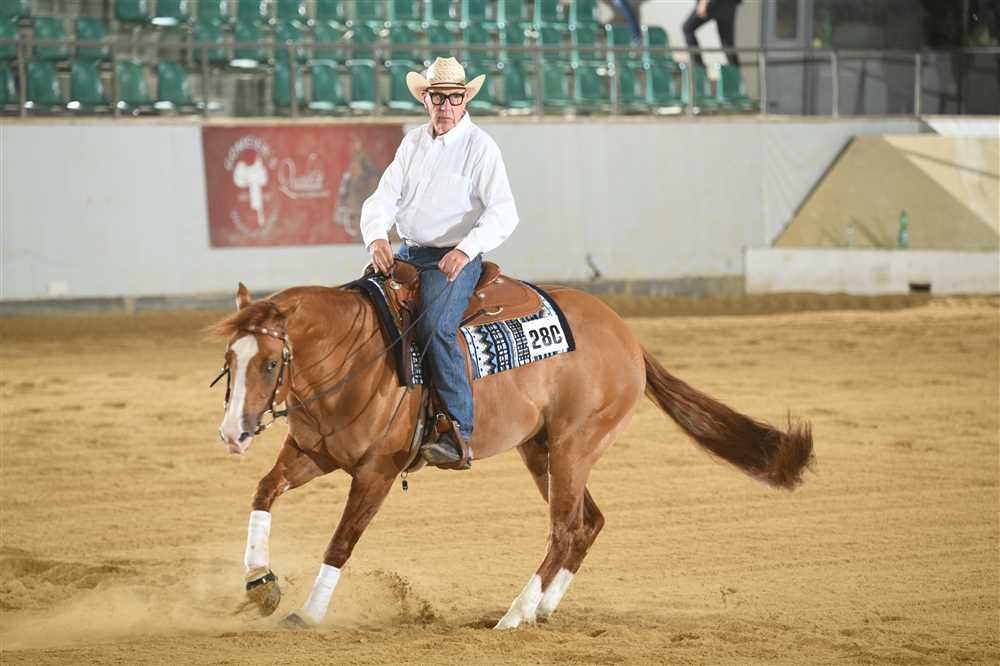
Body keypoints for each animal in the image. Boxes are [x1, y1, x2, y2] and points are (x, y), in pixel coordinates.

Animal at [210, 278, 814, 629]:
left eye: (271, 362)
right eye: (230, 359)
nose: (232, 433)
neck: (358, 352)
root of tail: (628, 338)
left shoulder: (377, 472)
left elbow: (341, 542)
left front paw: (308, 614)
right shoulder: (312, 452)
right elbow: (263, 493)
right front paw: (260, 584)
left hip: (573, 446)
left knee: (566, 529)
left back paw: (515, 614)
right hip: (541, 451)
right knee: (589, 523)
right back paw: (541, 607)